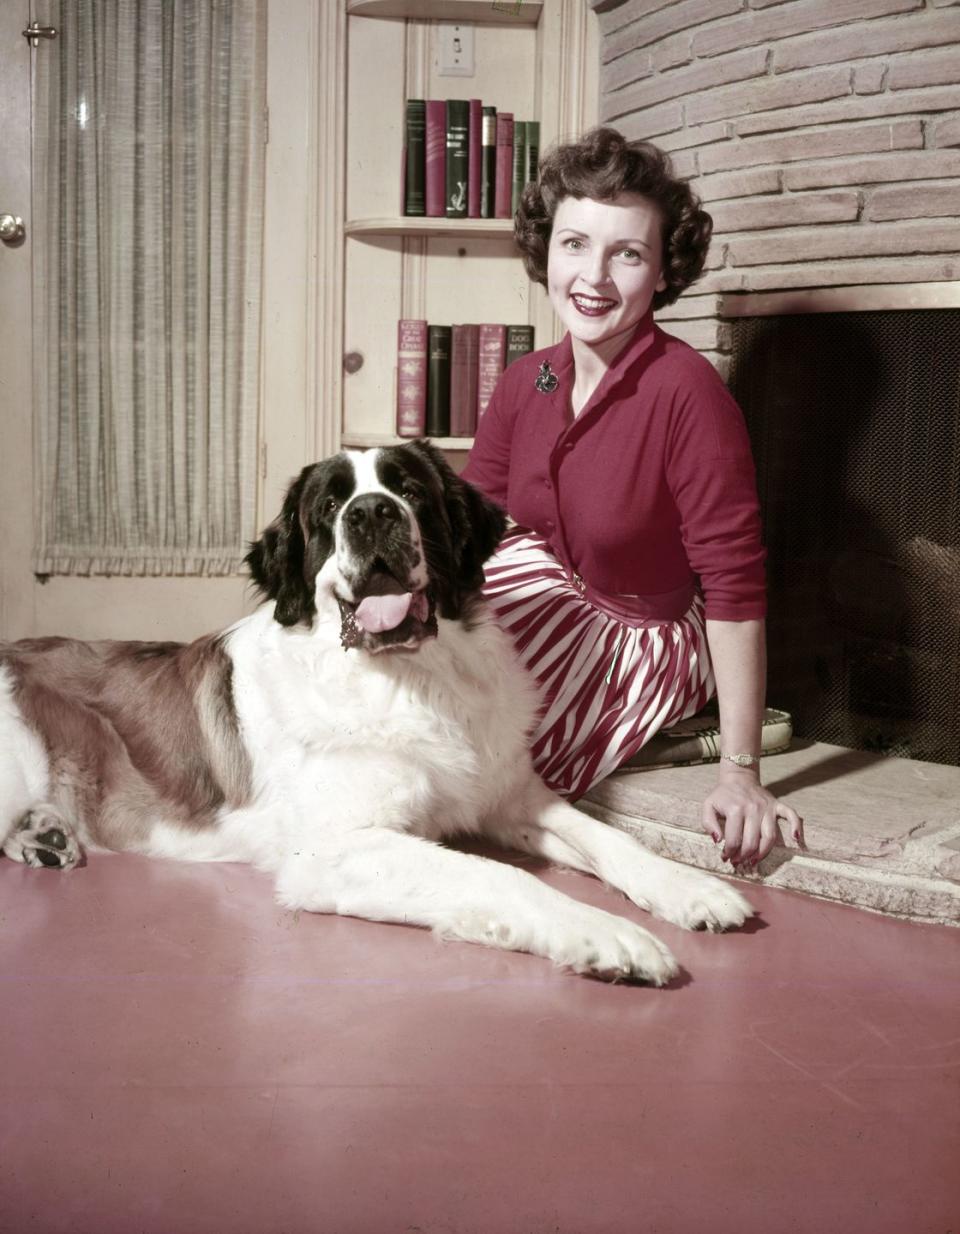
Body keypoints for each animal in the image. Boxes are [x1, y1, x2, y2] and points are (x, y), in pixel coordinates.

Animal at [0, 444, 750, 982]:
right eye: (330, 506)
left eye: (409, 489)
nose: (370, 513)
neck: (412, 677)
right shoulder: (331, 850)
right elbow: (495, 875)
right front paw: (607, 935)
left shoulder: (509, 798)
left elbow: (609, 837)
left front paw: (690, 889)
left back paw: (45, 836)